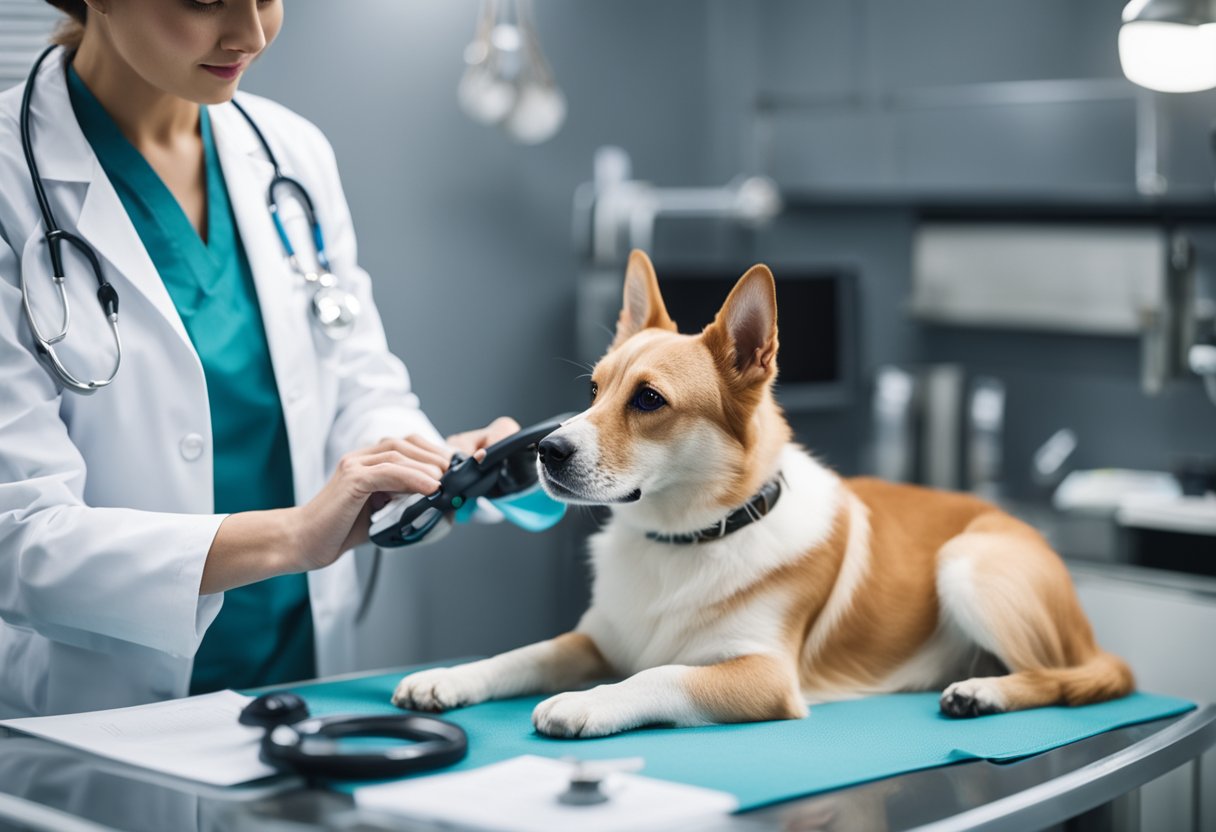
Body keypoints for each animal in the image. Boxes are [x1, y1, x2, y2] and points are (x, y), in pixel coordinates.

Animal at [391, 250, 1138, 739]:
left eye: (649, 400)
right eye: (594, 390)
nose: (546, 451)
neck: (681, 540)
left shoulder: (763, 674)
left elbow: (658, 677)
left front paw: (589, 703)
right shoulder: (593, 639)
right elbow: (522, 655)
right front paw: (448, 678)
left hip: (969, 563)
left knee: (1063, 677)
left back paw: (983, 691)